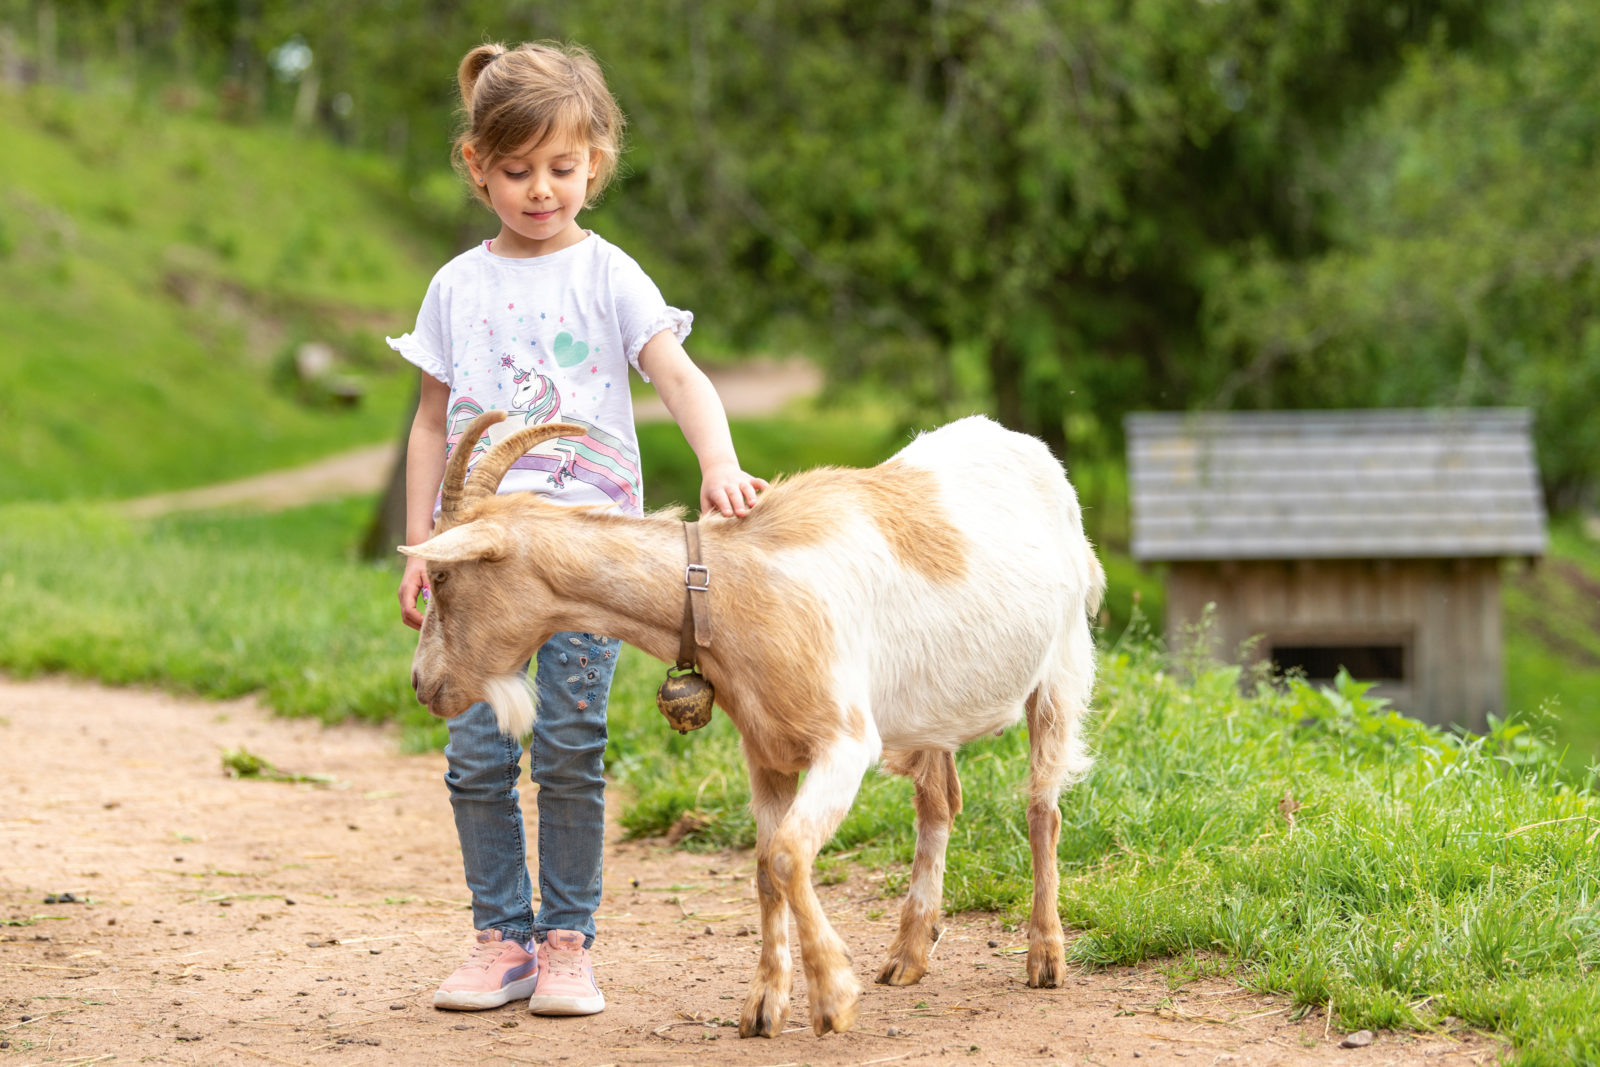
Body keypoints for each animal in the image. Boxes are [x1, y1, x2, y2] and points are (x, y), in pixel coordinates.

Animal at [396, 412, 1113, 1036]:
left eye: (444, 575)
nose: (423, 685)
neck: (729, 586)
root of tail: (1030, 449)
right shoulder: (764, 750)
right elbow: (767, 866)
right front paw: (765, 1007)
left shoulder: (845, 742)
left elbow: (791, 854)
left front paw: (834, 996)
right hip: (930, 707)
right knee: (938, 802)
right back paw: (908, 954)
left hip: (1062, 666)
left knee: (1042, 807)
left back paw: (1045, 956)